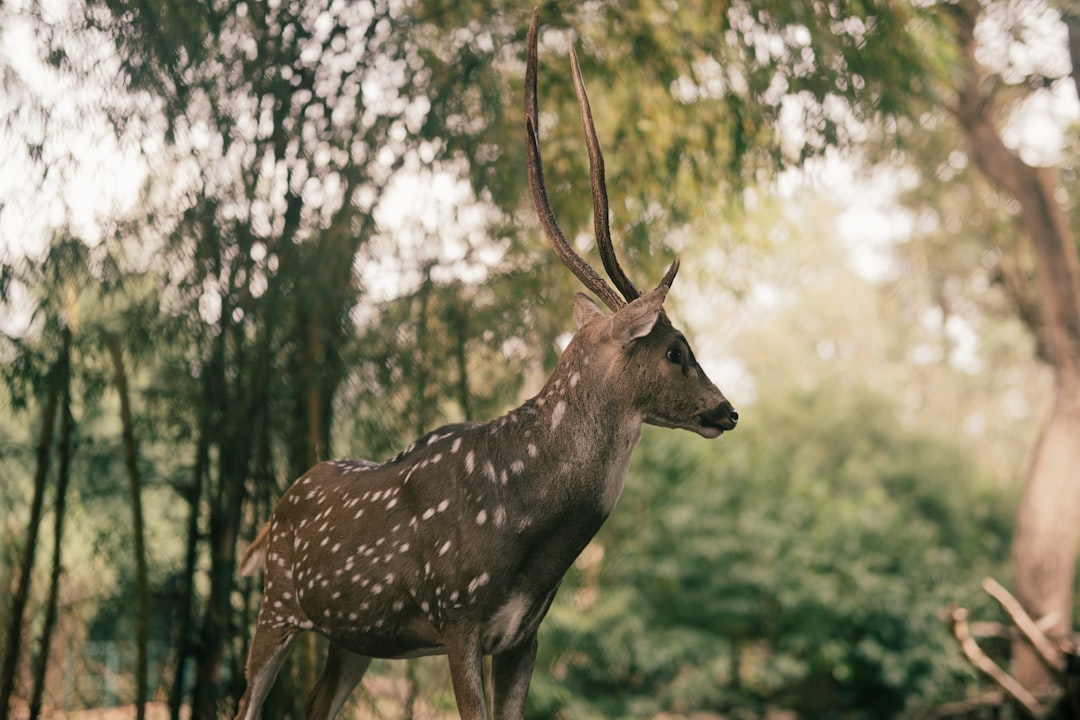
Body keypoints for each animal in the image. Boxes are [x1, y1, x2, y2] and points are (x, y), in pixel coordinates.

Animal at [234, 9, 738, 720]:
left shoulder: (525, 634)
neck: (531, 536)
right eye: (676, 349)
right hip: (276, 606)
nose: (727, 410)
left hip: (353, 637)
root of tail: (268, 520)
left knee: (315, 703)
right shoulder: (458, 613)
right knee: (247, 700)